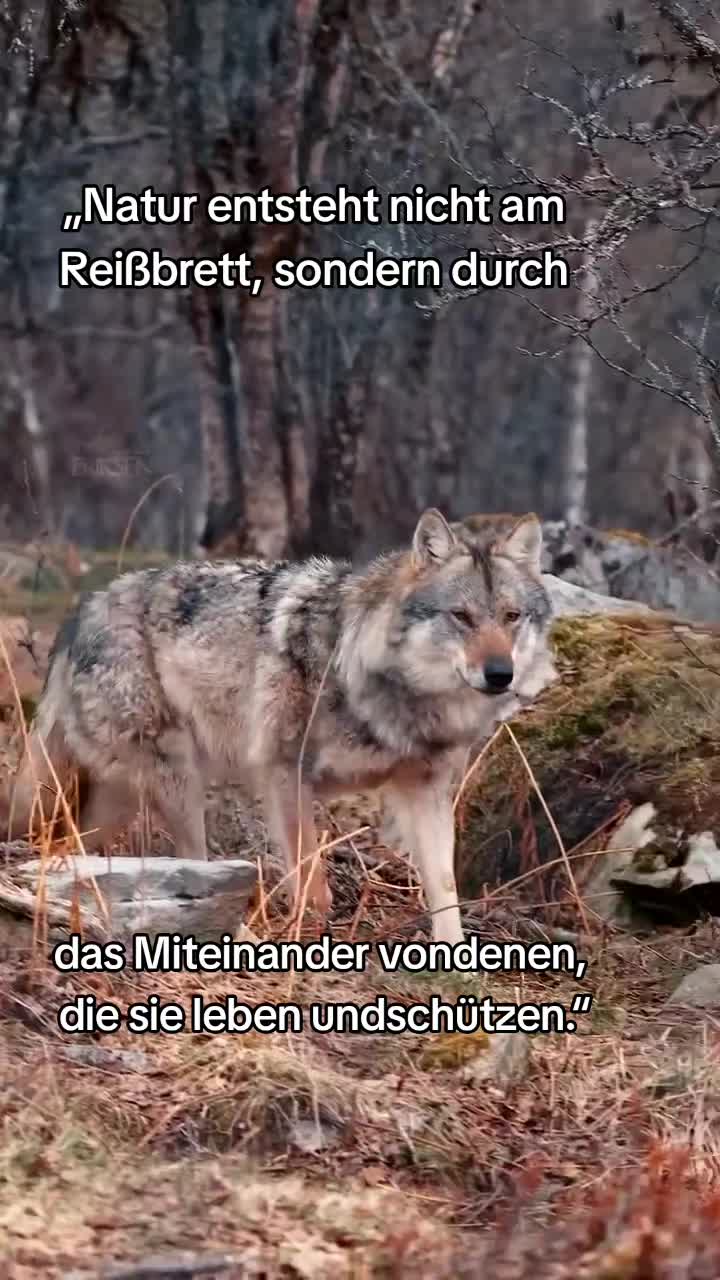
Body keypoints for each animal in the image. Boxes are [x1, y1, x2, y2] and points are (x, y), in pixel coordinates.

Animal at [3, 508, 554, 946]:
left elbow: (443, 884)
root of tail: (83, 609)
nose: (500, 674)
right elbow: (314, 886)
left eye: (511, 616)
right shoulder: (284, 774)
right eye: (461, 616)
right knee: (184, 869)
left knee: (66, 848)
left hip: (117, 800)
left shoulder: (426, 787)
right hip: (175, 786)